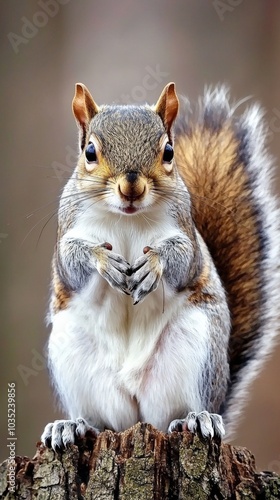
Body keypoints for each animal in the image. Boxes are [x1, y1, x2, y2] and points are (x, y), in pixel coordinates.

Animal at [41, 82, 280, 450]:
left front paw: (154, 263)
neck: (127, 218)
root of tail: (136, 417)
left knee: (179, 412)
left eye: (168, 151)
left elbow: (182, 260)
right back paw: (72, 425)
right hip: (71, 354)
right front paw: (103, 259)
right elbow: (70, 262)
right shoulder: (67, 231)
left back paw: (198, 418)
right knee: (99, 420)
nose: (131, 187)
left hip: (197, 347)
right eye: (90, 152)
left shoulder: (186, 234)